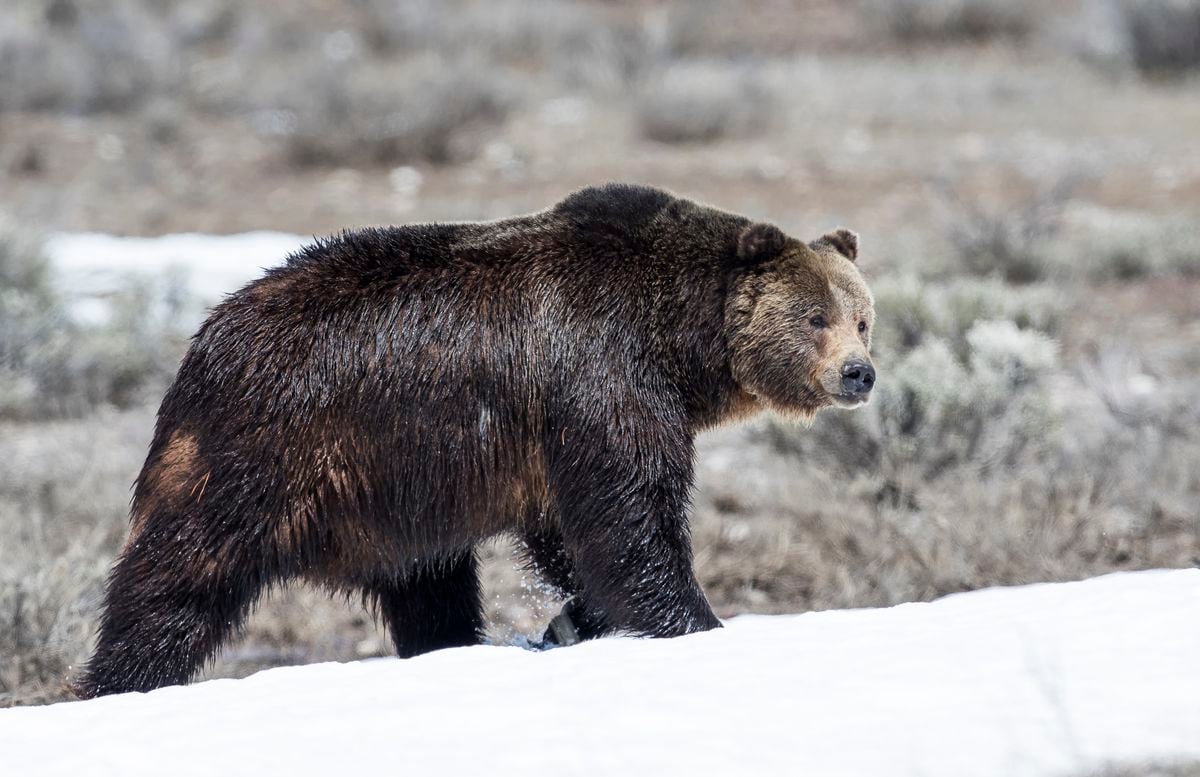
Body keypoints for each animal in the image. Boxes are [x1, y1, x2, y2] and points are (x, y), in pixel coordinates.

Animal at [77, 183, 883, 700]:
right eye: (813, 315)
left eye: (862, 316)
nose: (859, 372)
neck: (678, 341)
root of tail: (203, 339)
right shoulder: (600, 376)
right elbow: (630, 519)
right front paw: (694, 620)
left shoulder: (565, 426)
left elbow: (570, 532)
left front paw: (572, 619)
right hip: (264, 450)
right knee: (177, 579)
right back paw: (117, 681)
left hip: (391, 495)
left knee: (430, 583)